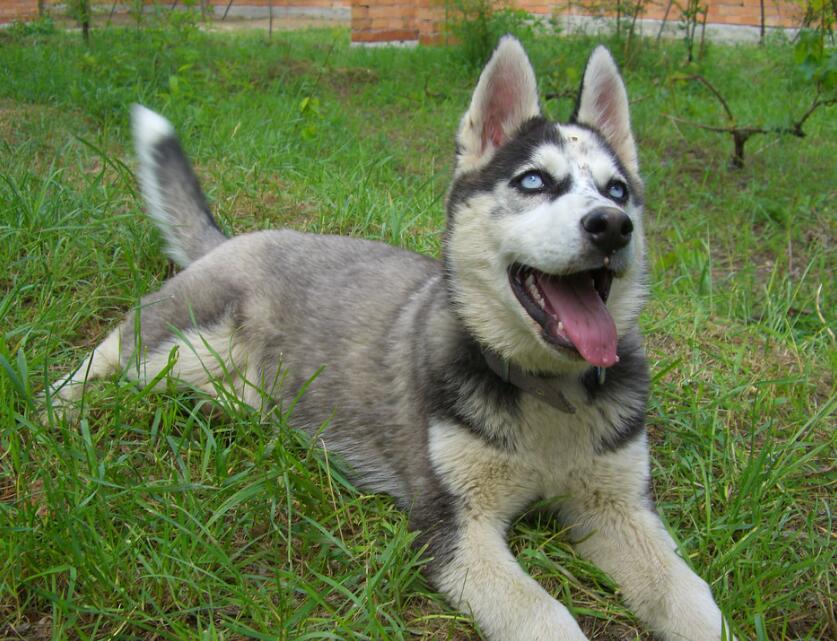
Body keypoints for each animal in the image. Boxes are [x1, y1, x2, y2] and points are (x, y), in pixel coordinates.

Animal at [47, 37, 733, 641]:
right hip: (172, 342)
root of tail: (234, 238)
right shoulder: (454, 527)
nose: (611, 226)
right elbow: (544, 617)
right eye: (535, 181)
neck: (545, 393)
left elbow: (693, 599)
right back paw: (56, 410)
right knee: (105, 356)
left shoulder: (620, 509)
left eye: (618, 190)